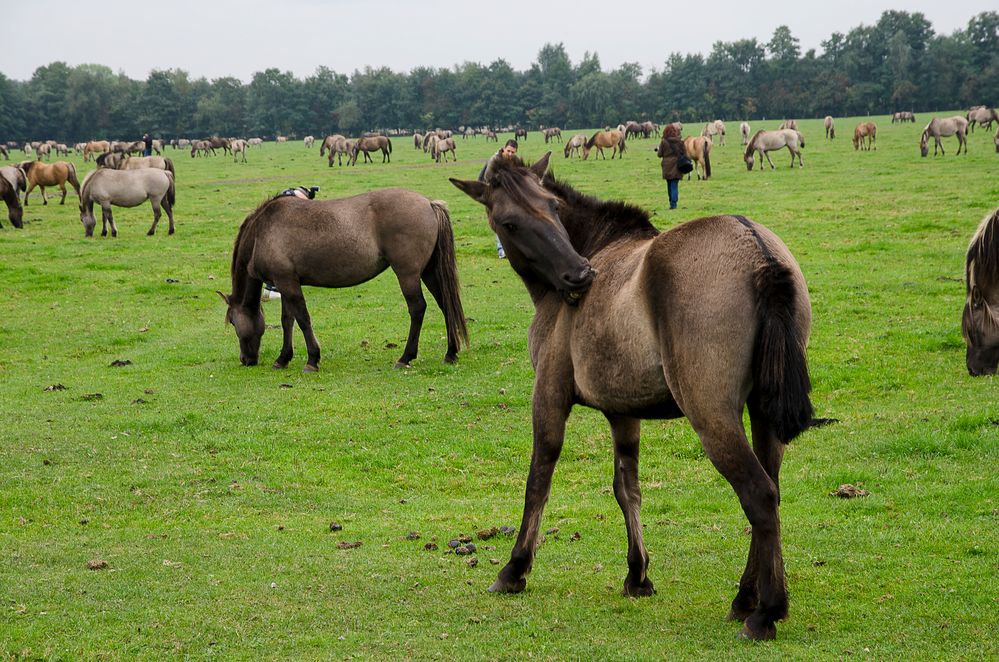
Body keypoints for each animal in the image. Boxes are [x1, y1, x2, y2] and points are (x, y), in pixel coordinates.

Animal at [217, 189, 466, 374]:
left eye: (233, 322)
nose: (246, 359)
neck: (263, 230)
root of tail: (429, 204)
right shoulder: (285, 283)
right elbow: (288, 321)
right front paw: (283, 358)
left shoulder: (287, 283)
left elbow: (303, 319)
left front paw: (312, 360)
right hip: (429, 272)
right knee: (446, 305)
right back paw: (451, 353)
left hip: (408, 274)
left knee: (417, 309)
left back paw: (405, 357)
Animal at [450, 154, 816, 644]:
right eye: (511, 221)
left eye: (552, 205)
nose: (580, 274)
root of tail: (757, 249)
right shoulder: (623, 412)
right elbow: (628, 489)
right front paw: (637, 574)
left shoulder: (548, 395)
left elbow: (538, 479)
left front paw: (515, 568)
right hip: (762, 414)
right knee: (770, 490)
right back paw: (745, 596)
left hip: (712, 415)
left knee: (758, 494)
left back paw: (766, 611)